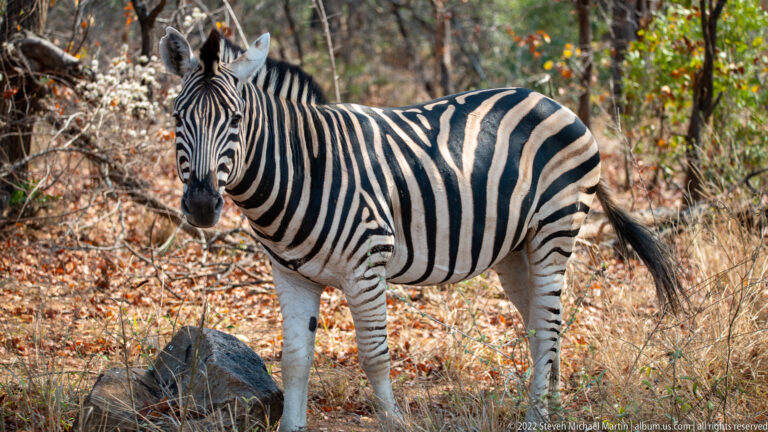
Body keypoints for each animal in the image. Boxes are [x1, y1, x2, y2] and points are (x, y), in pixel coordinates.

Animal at [159, 28, 682, 430]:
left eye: (236, 119)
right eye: (177, 117)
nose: (202, 205)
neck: (307, 166)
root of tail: (555, 103)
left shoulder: (366, 267)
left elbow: (374, 354)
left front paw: (393, 421)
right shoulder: (290, 276)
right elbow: (293, 359)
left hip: (555, 228)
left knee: (549, 322)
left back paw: (536, 419)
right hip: (517, 250)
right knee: (541, 325)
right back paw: (553, 411)